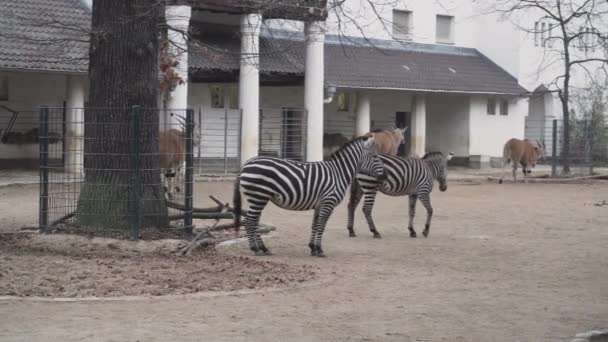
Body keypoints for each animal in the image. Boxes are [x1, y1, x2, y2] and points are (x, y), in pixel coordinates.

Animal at [233, 134, 384, 256]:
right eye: (375, 156)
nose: (384, 175)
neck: (339, 173)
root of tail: (246, 164)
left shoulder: (319, 204)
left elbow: (315, 225)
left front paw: (313, 248)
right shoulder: (328, 202)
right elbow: (322, 225)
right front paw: (320, 249)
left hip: (258, 198)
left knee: (253, 221)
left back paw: (263, 249)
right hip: (258, 196)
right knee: (249, 220)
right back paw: (256, 249)